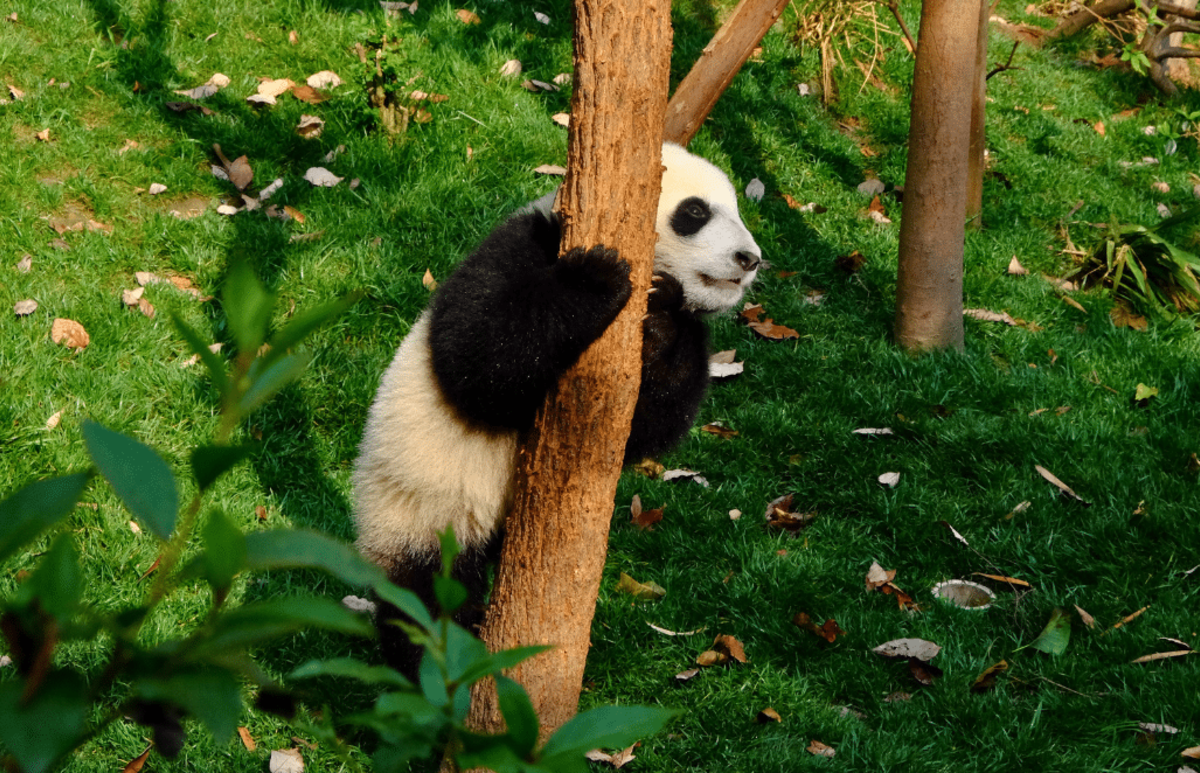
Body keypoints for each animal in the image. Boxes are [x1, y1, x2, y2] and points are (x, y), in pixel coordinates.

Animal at [353, 142, 761, 675]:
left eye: (736, 211)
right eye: (695, 213)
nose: (749, 259)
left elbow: (647, 425)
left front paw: (664, 318)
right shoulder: (521, 244)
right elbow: (477, 356)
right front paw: (597, 277)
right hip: (418, 505)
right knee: (426, 596)